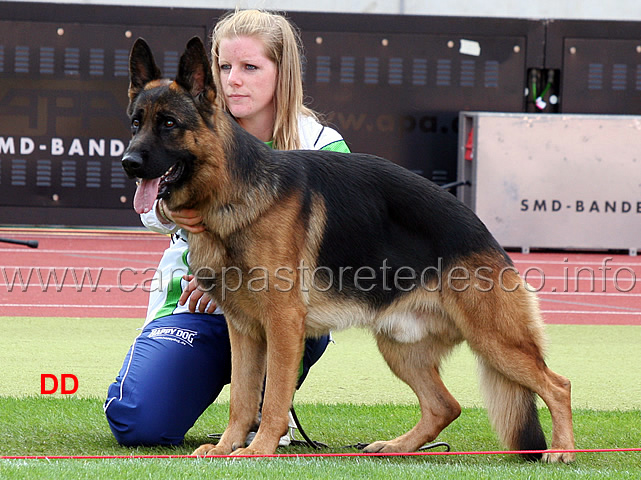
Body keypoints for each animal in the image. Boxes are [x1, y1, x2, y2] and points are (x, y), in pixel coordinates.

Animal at [121, 38, 576, 462]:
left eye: (168, 123)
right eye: (136, 123)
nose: (128, 162)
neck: (231, 190)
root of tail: (485, 234)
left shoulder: (283, 325)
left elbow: (273, 398)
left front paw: (259, 449)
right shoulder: (245, 330)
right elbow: (242, 399)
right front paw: (225, 447)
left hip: (495, 339)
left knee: (558, 385)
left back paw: (564, 450)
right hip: (401, 347)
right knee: (445, 406)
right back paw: (396, 447)